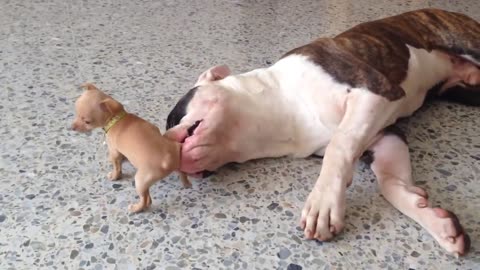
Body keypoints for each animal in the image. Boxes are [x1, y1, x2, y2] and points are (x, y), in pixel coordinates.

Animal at [71, 83, 191, 213]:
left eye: (87, 122)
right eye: (76, 113)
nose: (71, 127)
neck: (116, 118)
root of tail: (167, 160)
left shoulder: (114, 151)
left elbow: (117, 166)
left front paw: (114, 176)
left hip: (140, 180)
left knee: (145, 200)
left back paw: (136, 208)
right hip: (173, 165)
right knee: (181, 173)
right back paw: (186, 183)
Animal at [164, 8, 476, 256]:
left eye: (173, 117)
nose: (165, 149)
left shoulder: (374, 92)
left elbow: (340, 144)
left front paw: (323, 204)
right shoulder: (384, 137)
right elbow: (391, 184)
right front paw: (435, 220)